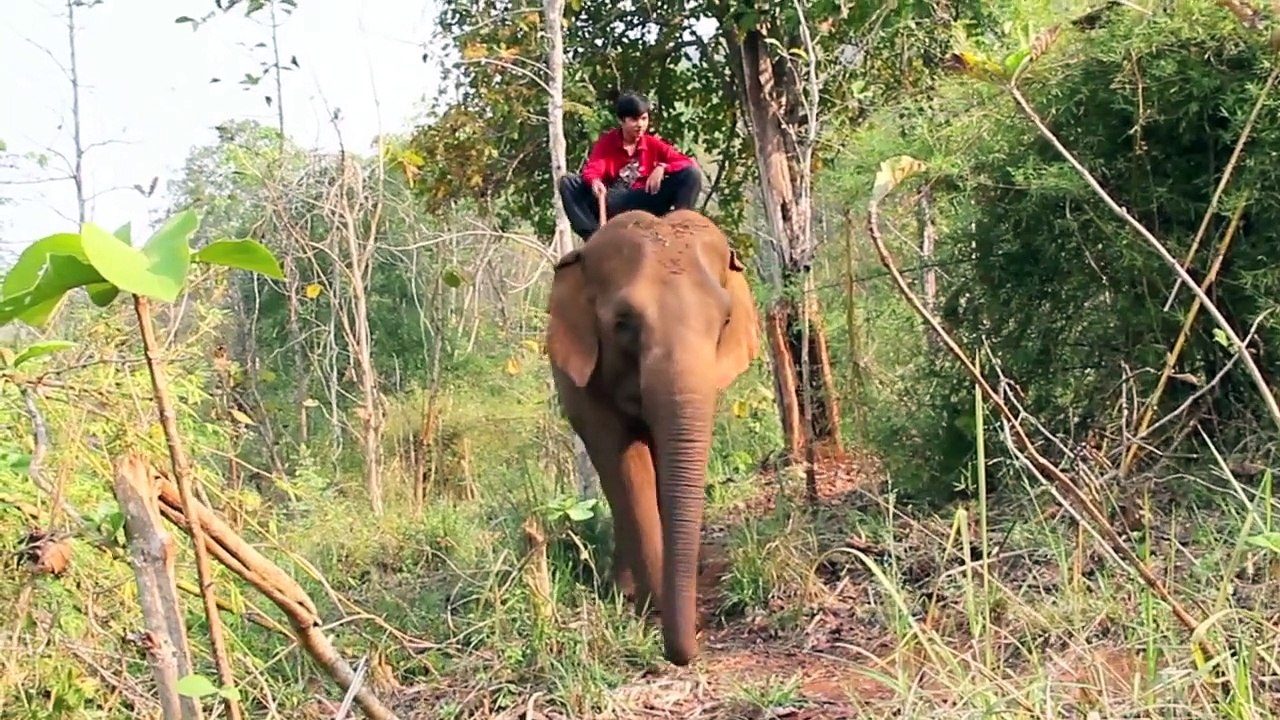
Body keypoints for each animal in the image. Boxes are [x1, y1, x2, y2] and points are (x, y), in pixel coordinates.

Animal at [545, 207, 761, 666]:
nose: (685, 652)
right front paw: (648, 607)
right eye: (623, 323)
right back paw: (623, 588)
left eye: (725, 321)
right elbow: (622, 462)